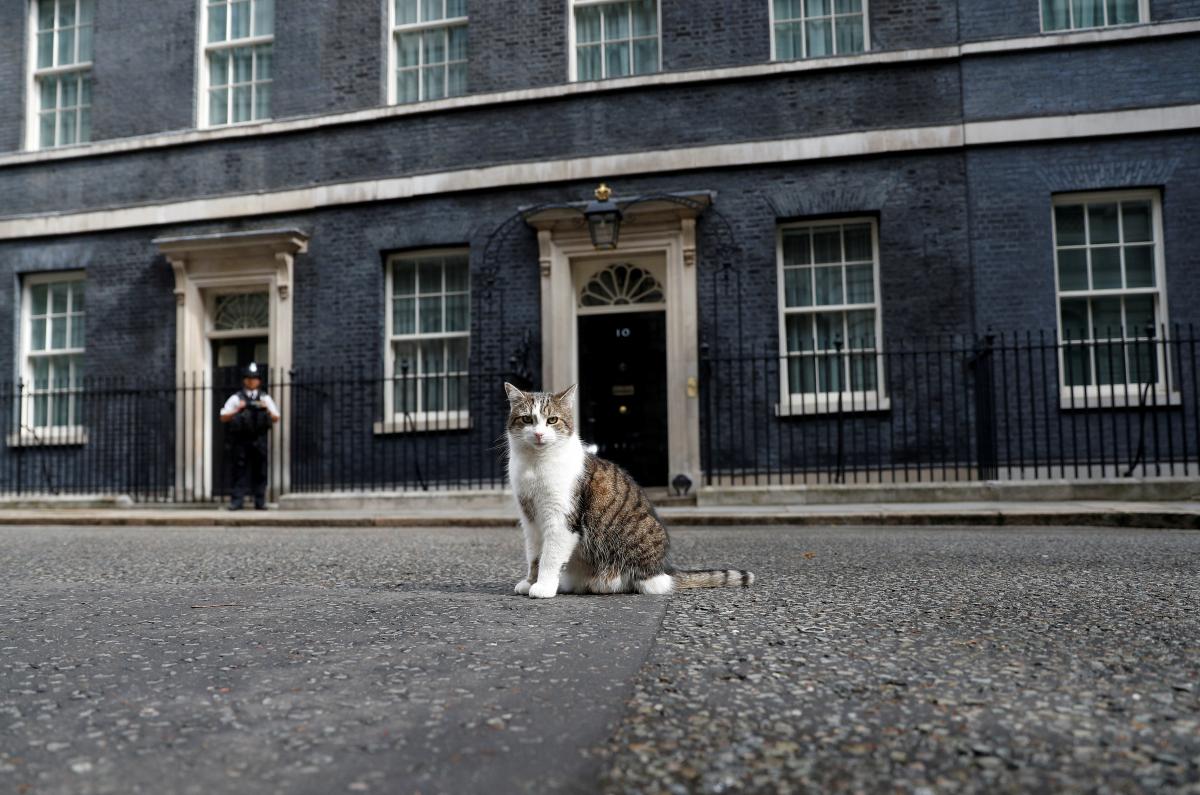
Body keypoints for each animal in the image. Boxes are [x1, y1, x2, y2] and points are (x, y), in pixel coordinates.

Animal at [501, 384, 753, 600]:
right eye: (527, 419)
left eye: (552, 420)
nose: (539, 434)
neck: (535, 465)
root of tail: (665, 569)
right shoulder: (530, 519)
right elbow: (534, 556)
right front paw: (530, 582)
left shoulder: (561, 519)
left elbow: (550, 557)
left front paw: (543, 586)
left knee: (651, 585)